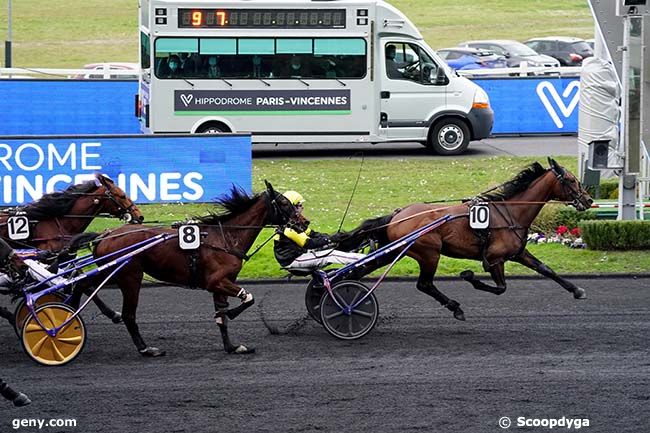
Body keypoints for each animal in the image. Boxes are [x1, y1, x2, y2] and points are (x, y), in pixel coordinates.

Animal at [0, 172, 144, 324]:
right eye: (122, 196)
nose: (139, 216)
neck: (58, 223)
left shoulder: (66, 259)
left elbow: (82, 280)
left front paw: (111, 313)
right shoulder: (49, 260)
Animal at [73, 181, 294, 356]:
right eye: (284, 203)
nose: (301, 221)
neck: (225, 238)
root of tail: (105, 234)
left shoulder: (222, 284)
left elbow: (222, 317)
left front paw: (232, 347)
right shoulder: (216, 281)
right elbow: (248, 298)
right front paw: (232, 313)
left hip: (109, 273)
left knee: (82, 283)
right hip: (129, 277)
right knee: (128, 315)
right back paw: (146, 349)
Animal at [334, 157, 592, 318]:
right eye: (571, 180)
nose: (588, 200)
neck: (510, 211)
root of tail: (398, 215)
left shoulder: (518, 253)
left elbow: (546, 269)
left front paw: (577, 290)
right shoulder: (495, 259)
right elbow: (501, 288)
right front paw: (469, 276)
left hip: (394, 251)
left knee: (359, 271)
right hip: (429, 252)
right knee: (424, 284)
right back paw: (455, 307)